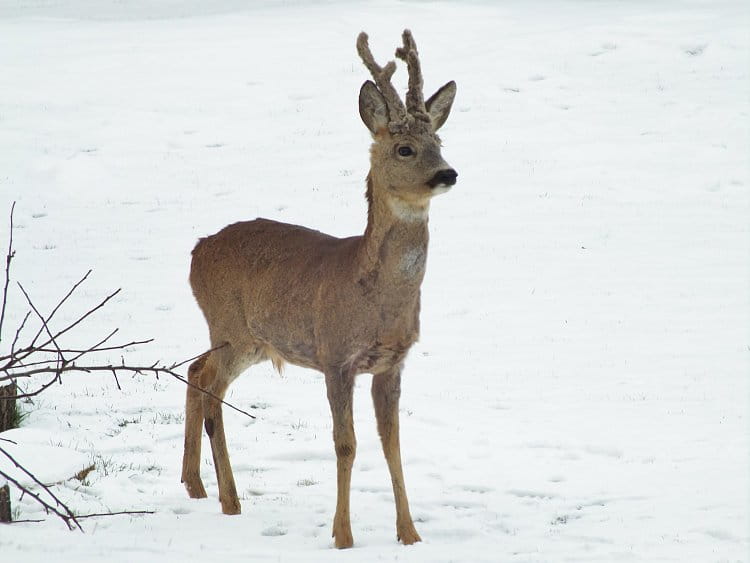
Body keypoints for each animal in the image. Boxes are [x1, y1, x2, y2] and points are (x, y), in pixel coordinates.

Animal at [184, 28, 458, 548]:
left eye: (440, 141)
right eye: (404, 149)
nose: (448, 173)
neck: (375, 298)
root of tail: (196, 251)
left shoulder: (393, 362)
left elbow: (392, 443)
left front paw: (409, 534)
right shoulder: (335, 355)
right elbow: (345, 444)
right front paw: (343, 535)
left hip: (248, 339)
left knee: (193, 370)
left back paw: (194, 486)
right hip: (232, 328)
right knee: (210, 387)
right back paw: (229, 499)